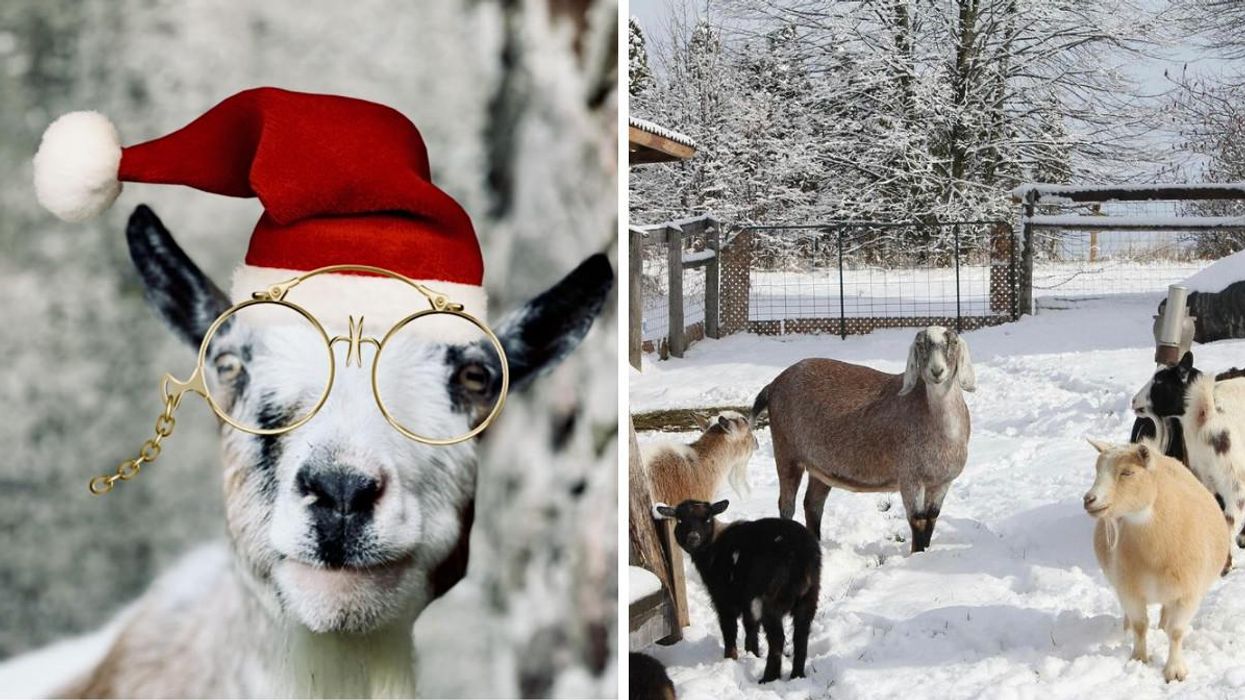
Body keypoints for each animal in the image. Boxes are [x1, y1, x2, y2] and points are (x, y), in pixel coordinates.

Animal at [653, 499, 820, 684]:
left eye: (707, 519)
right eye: (680, 520)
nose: (693, 538)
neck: (713, 547)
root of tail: (803, 557)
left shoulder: (723, 598)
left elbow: (729, 628)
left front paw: (730, 657)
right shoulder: (747, 600)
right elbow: (751, 627)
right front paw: (752, 654)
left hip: (771, 599)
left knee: (778, 638)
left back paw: (768, 678)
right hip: (809, 597)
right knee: (801, 635)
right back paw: (797, 675)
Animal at [752, 326, 975, 552]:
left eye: (953, 342)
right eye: (920, 344)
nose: (937, 371)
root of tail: (773, 385)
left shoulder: (942, 482)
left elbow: (931, 520)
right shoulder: (911, 478)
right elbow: (918, 522)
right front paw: (917, 555)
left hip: (820, 467)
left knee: (812, 504)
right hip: (786, 451)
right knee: (786, 505)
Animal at [1084, 440, 1229, 682]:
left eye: (1127, 472)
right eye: (1097, 470)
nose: (1089, 499)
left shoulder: (1189, 594)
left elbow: (1177, 632)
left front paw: (1175, 671)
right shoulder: (1130, 590)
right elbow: (1140, 626)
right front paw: (1139, 658)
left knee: (1166, 613)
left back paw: (1162, 627)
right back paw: (1126, 629)